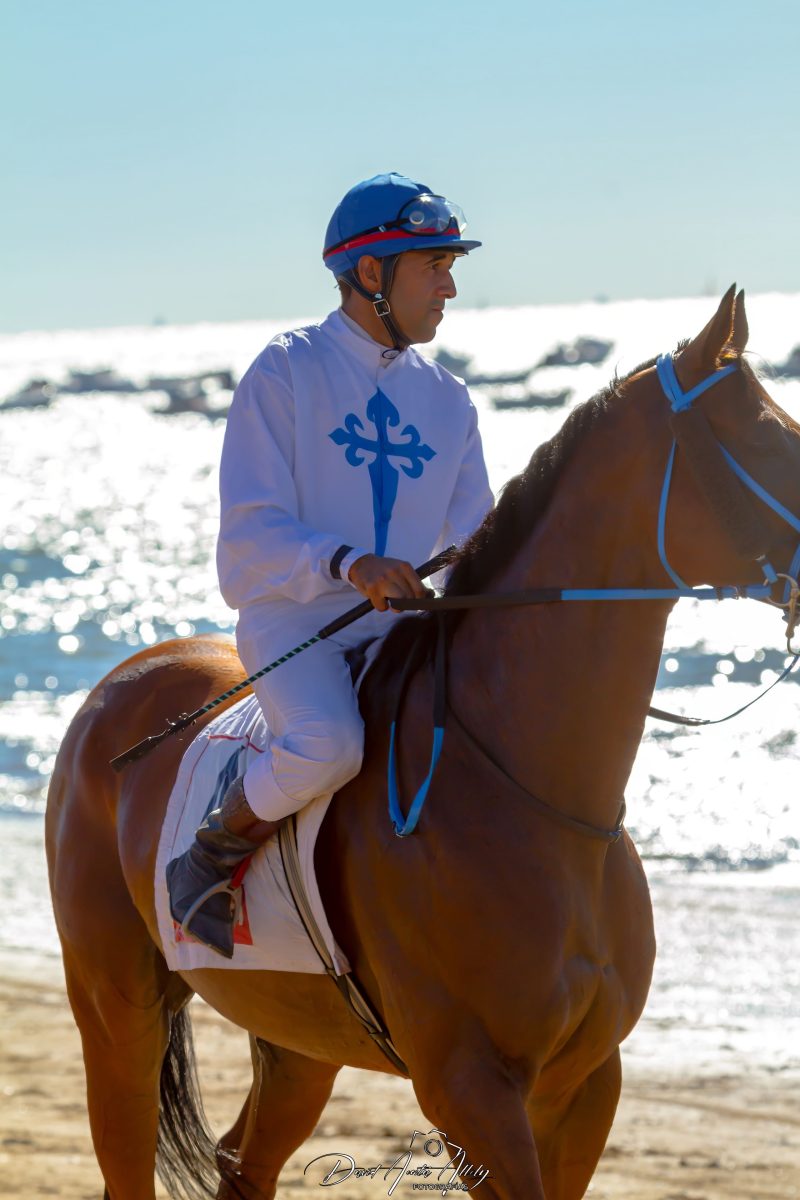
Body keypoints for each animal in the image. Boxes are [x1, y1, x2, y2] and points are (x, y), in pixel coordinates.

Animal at [46, 286, 800, 1199]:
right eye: (766, 435)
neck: (535, 796)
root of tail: (117, 684)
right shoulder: (468, 1086)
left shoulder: (587, 1082)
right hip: (114, 1006)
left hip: (299, 1037)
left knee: (241, 1160)